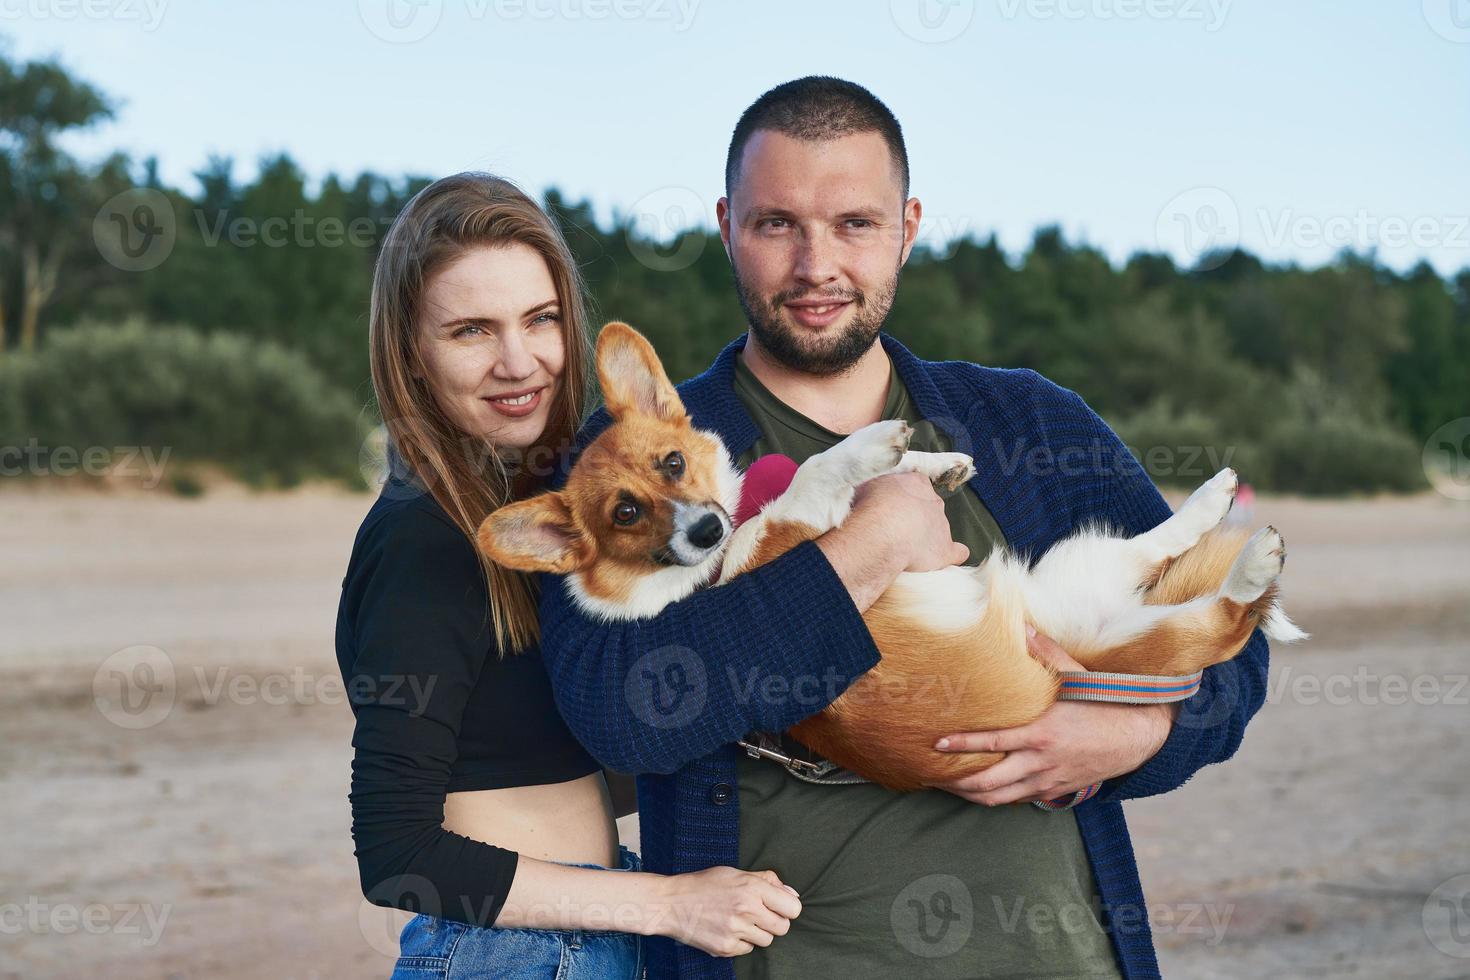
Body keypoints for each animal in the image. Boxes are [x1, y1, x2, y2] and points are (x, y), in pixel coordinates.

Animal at [476, 326, 1305, 793]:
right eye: (625, 514)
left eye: (673, 463)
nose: (705, 532)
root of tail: (1080, 648)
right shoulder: (792, 538)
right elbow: (819, 473)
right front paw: (873, 445)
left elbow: (874, 475)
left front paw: (937, 464)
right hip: (1125, 618)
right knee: (1221, 621)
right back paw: (1255, 560)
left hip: (1083, 567)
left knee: (1160, 546)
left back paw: (1214, 500)